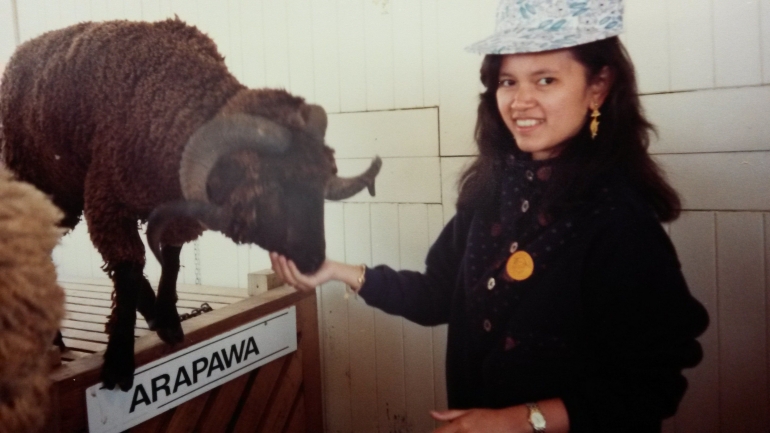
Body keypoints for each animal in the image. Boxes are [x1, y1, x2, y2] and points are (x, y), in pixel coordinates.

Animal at [0, 19, 380, 392]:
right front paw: (119, 358)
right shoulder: (109, 198)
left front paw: (167, 319)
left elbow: (169, 259)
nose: (315, 261)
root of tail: (25, 47)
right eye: (269, 186)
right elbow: (128, 270)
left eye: (318, 185)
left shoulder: (175, 212)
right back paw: (56, 338)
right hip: (46, 185)